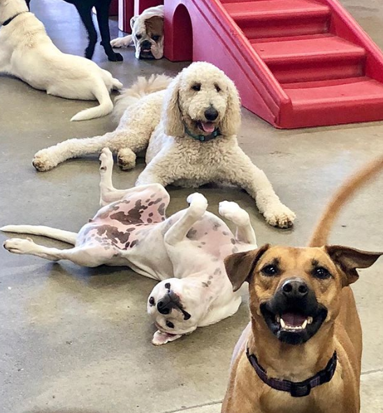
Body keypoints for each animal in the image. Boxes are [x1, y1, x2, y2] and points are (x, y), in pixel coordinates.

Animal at [1, 148, 258, 344]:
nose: (163, 304)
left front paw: (217, 206)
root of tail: (90, 228)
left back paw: (19, 245)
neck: (211, 285)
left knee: (55, 254)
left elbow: (219, 215)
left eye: (169, 322)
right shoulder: (178, 239)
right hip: (151, 197)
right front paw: (221, 206)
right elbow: (214, 212)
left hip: (96, 252)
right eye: (153, 300)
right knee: (101, 202)